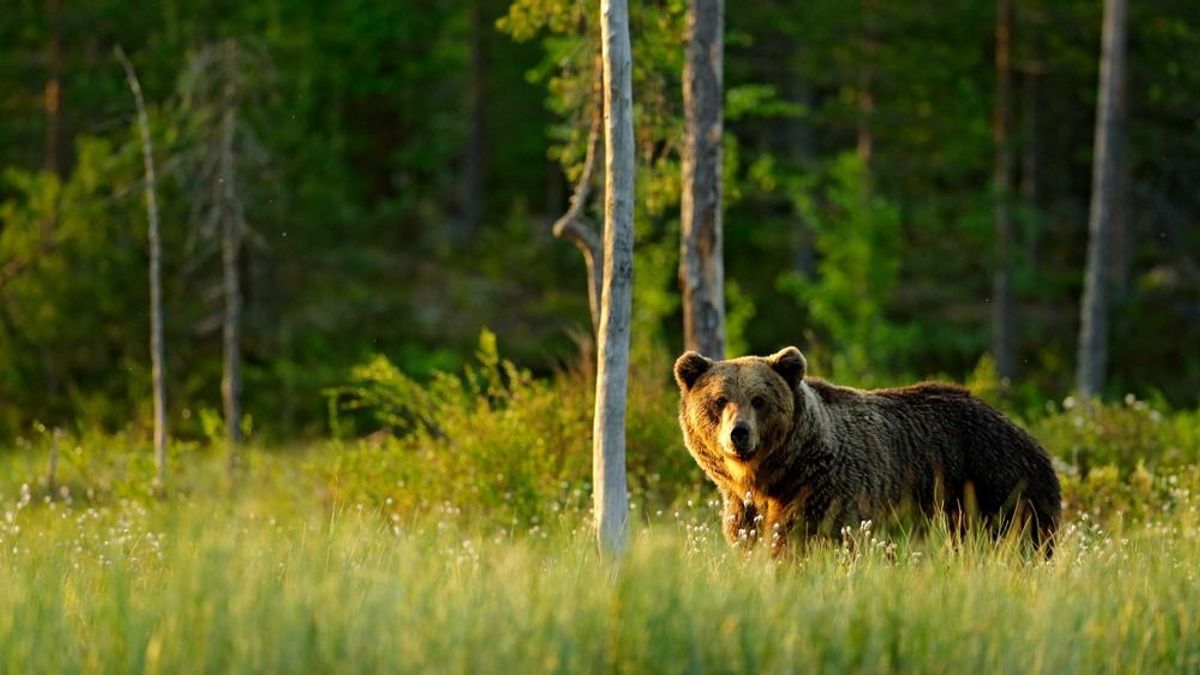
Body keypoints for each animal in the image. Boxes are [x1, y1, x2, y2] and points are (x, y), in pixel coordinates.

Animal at [676, 345, 1060, 552]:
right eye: (719, 400)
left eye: (759, 400)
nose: (739, 434)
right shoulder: (744, 509)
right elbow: (750, 540)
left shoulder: (825, 492)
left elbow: (802, 541)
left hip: (995, 487)